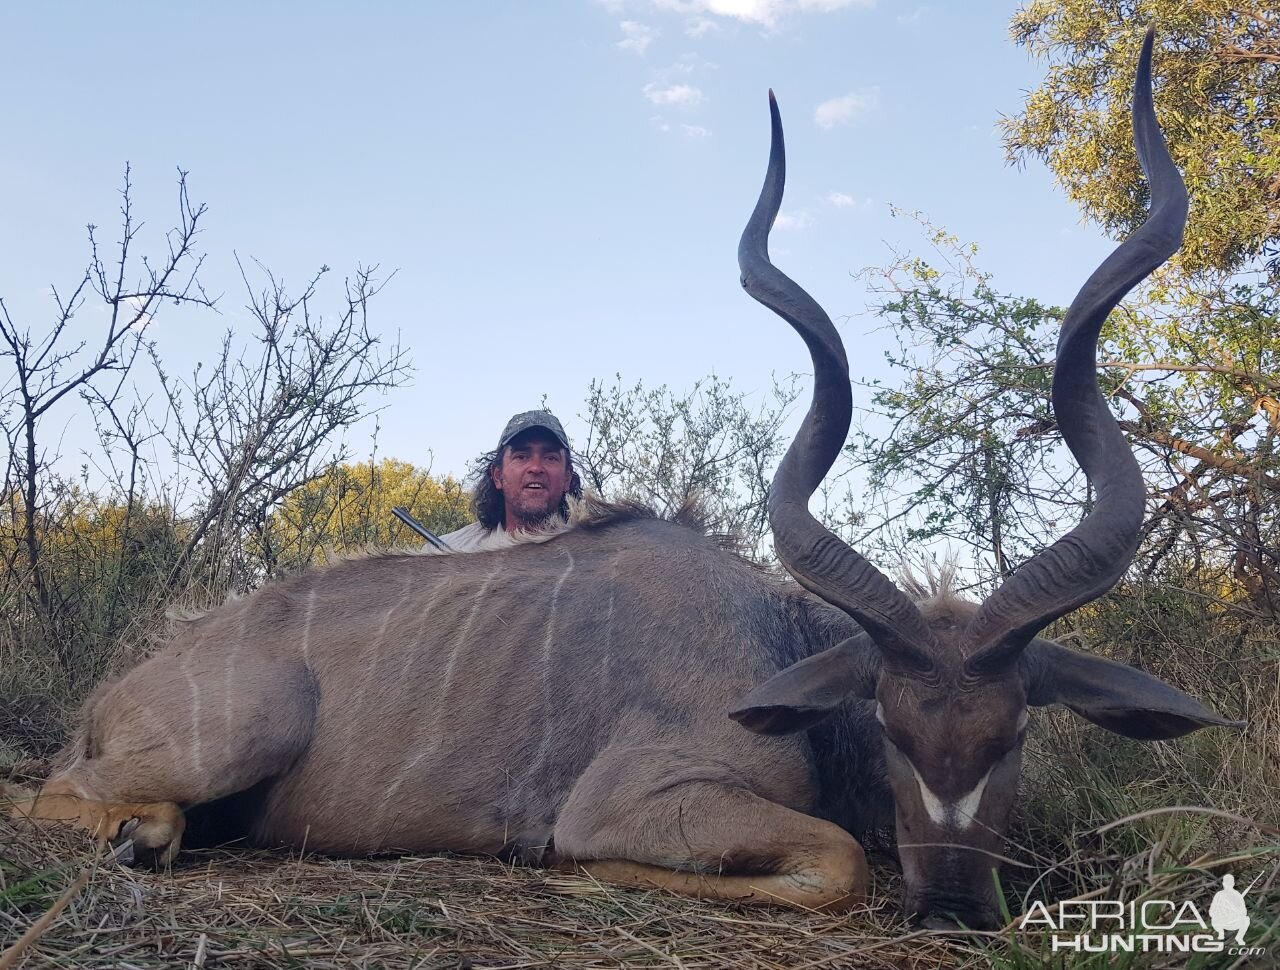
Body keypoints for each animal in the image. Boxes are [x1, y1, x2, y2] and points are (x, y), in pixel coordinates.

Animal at [5, 34, 1233, 936]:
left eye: (1014, 732)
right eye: (887, 725)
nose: (948, 912)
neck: (772, 650)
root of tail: (116, 694)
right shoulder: (640, 799)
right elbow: (832, 862)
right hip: (233, 738)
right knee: (48, 794)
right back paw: (144, 833)